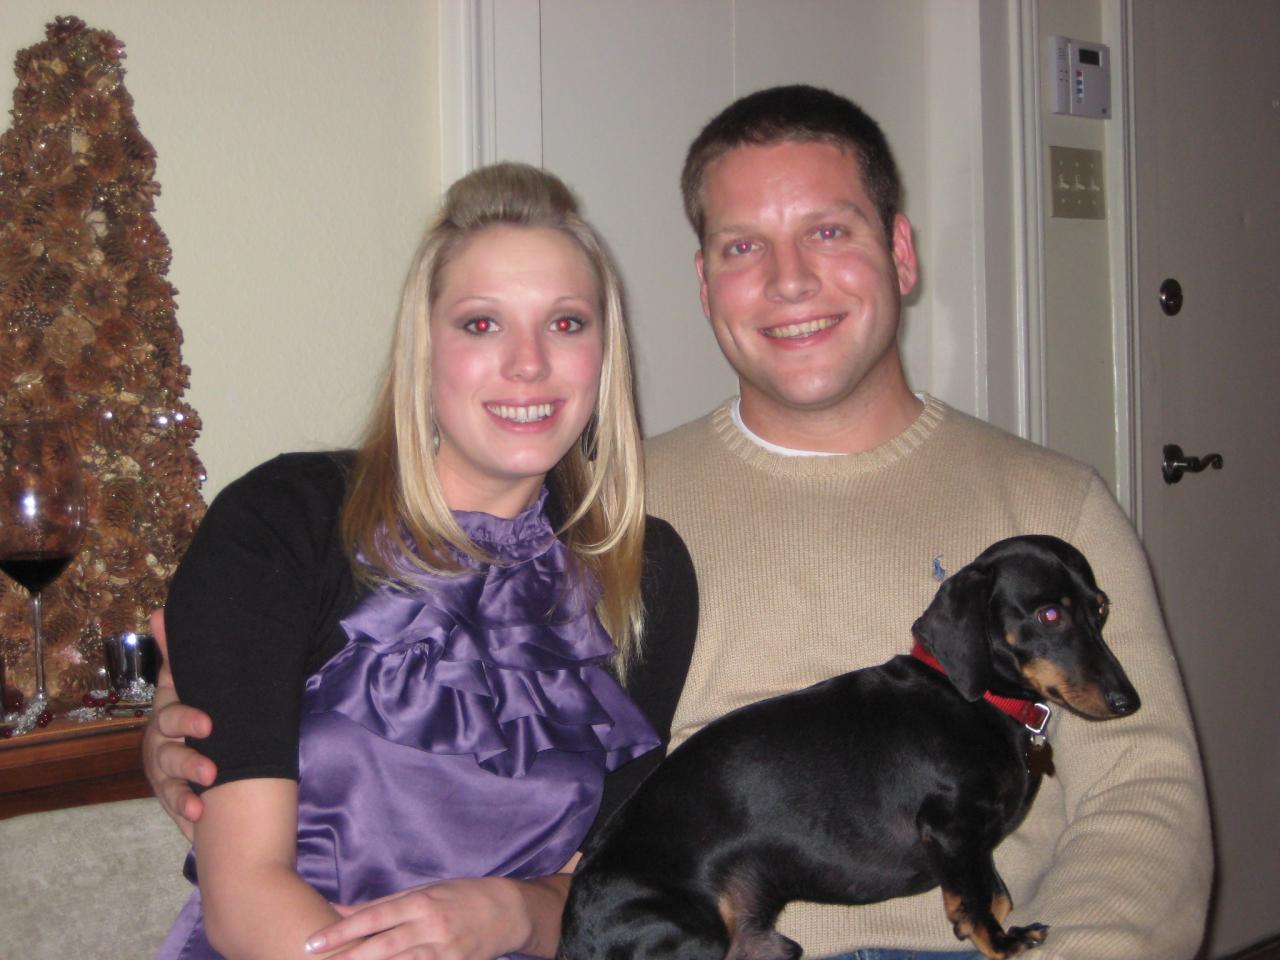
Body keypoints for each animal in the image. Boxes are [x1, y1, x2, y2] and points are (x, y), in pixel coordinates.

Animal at [560, 535, 1140, 960]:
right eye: (1049, 615)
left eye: (1102, 608)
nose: (1128, 701)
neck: (974, 701)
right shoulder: (951, 828)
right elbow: (978, 901)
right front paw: (1003, 943)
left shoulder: (974, 841)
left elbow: (995, 892)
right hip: (693, 935)